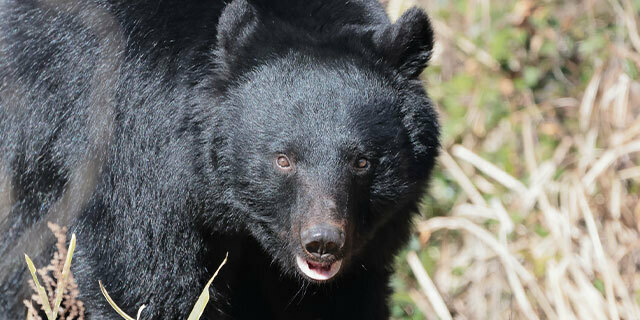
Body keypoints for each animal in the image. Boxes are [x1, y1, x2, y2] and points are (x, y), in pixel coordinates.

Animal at [0, 0, 440, 318]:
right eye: (283, 159)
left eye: (362, 162)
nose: (323, 243)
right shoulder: (131, 160)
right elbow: (140, 282)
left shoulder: (370, 238)